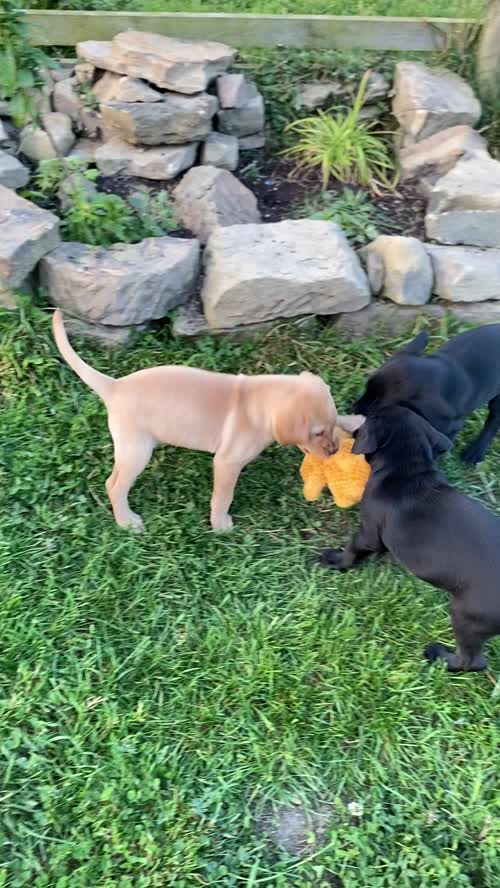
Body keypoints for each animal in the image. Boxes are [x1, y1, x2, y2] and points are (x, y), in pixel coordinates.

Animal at [51, 310, 356, 532]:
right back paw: (126, 521)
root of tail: (115, 386)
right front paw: (220, 525)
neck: (259, 403)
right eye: (317, 433)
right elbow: (223, 496)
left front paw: (352, 420)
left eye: (328, 428)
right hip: (136, 451)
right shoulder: (227, 463)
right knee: (114, 485)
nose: (333, 451)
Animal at [320, 406, 500, 668]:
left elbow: (353, 548)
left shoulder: (369, 533)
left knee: (472, 660)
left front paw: (336, 561)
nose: (353, 430)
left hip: (467, 616)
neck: (407, 469)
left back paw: (439, 656)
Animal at [354, 324, 500, 464]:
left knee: (493, 420)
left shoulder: (450, 427)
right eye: (366, 389)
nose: (354, 408)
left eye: (377, 403)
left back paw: (476, 452)